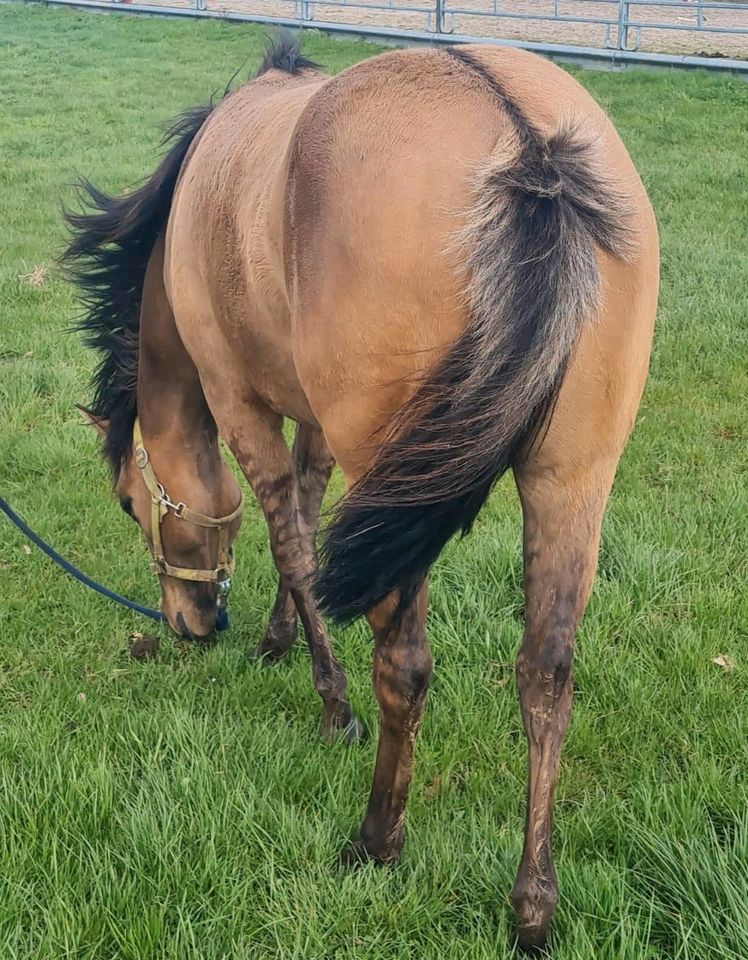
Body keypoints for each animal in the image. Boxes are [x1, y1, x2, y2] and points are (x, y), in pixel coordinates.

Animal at [65, 39, 660, 952]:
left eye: (133, 507)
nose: (191, 625)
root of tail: (532, 152)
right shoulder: (312, 425)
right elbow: (306, 521)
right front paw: (277, 639)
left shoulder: (242, 406)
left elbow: (290, 542)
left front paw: (328, 701)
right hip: (571, 484)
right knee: (546, 675)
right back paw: (531, 907)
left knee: (405, 668)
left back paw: (378, 838)